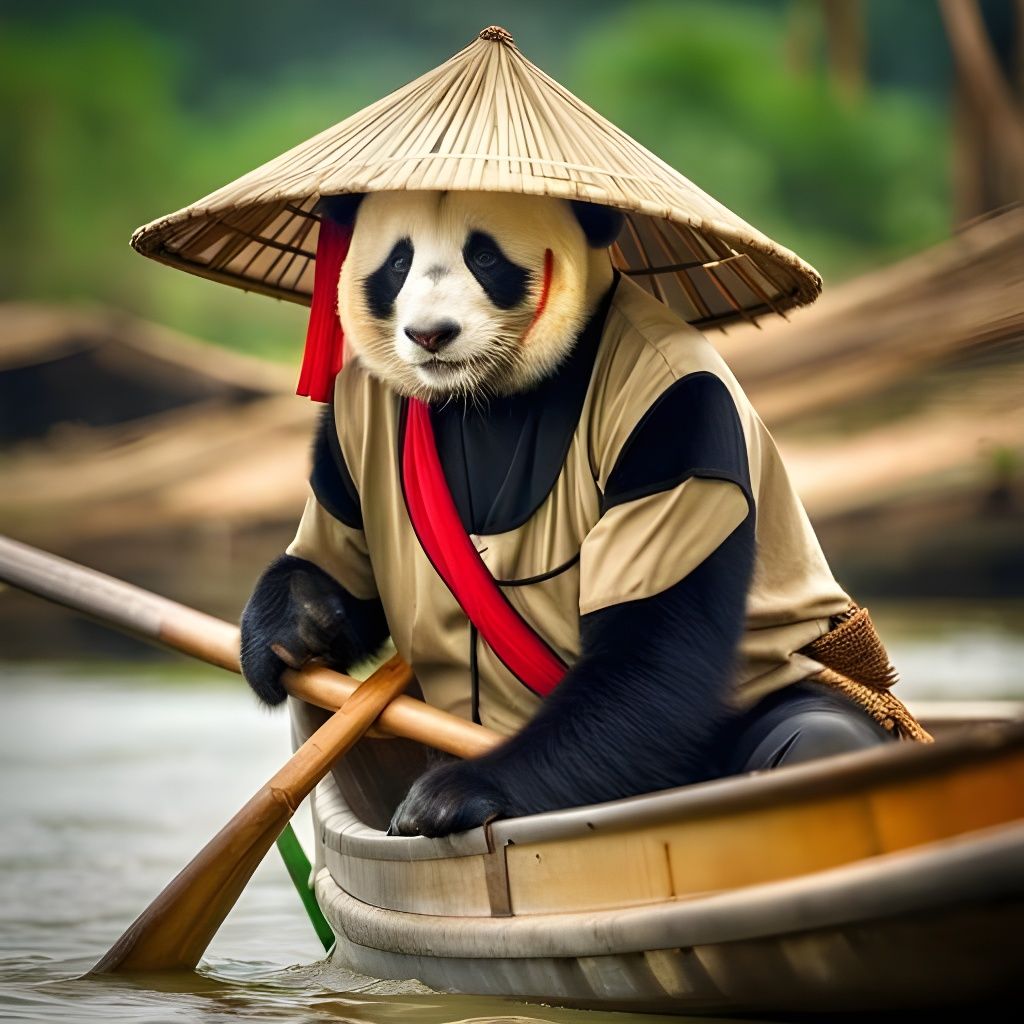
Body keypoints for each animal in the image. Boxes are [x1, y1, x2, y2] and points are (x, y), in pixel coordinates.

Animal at [240, 189, 894, 838]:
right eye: (398, 263)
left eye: (485, 258)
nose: (430, 335)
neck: (488, 394)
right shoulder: (349, 422)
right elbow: (341, 574)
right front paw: (291, 627)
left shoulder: (680, 421)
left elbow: (651, 654)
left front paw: (455, 795)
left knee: (818, 740)